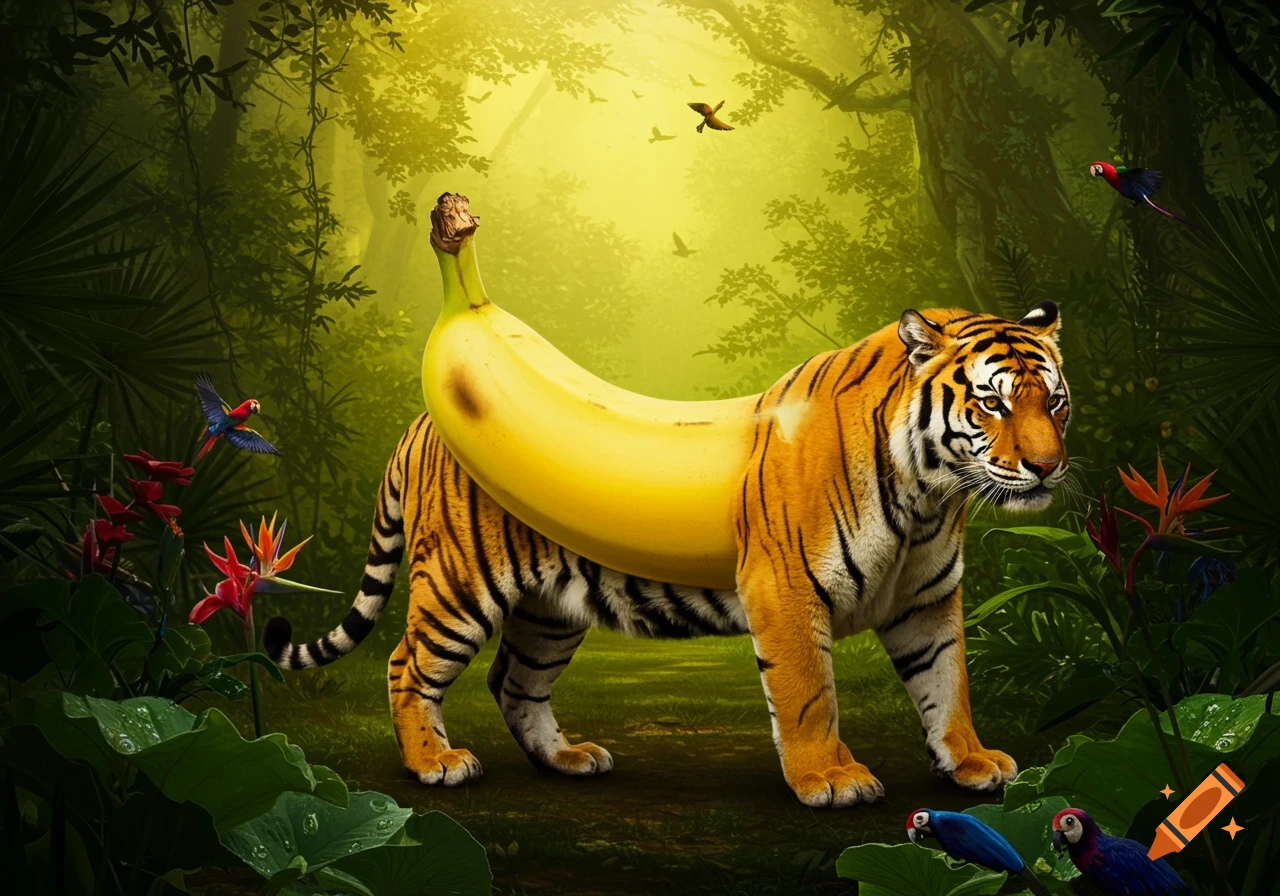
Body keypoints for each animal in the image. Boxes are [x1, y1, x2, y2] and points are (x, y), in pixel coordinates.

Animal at [264, 300, 1070, 808]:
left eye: (1055, 403)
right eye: (993, 403)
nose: (1047, 468)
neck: (928, 498)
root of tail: (420, 423)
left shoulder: (926, 600)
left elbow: (948, 684)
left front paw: (971, 761)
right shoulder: (787, 592)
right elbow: (809, 697)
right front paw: (830, 779)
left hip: (548, 611)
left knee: (512, 682)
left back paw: (567, 759)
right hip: (459, 587)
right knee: (407, 666)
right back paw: (434, 763)